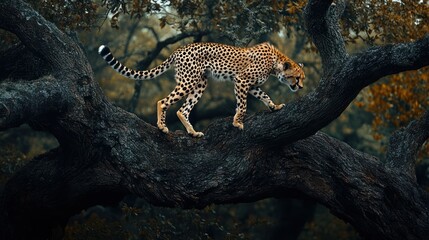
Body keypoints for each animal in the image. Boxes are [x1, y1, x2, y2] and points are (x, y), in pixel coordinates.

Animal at [98, 42, 304, 138]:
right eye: (297, 77)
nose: (301, 86)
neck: (276, 62)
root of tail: (179, 49)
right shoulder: (241, 81)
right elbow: (243, 105)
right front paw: (237, 122)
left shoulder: (251, 86)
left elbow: (264, 95)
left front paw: (275, 107)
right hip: (189, 81)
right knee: (163, 101)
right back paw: (162, 126)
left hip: (200, 83)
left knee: (182, 110)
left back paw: (193, 133)